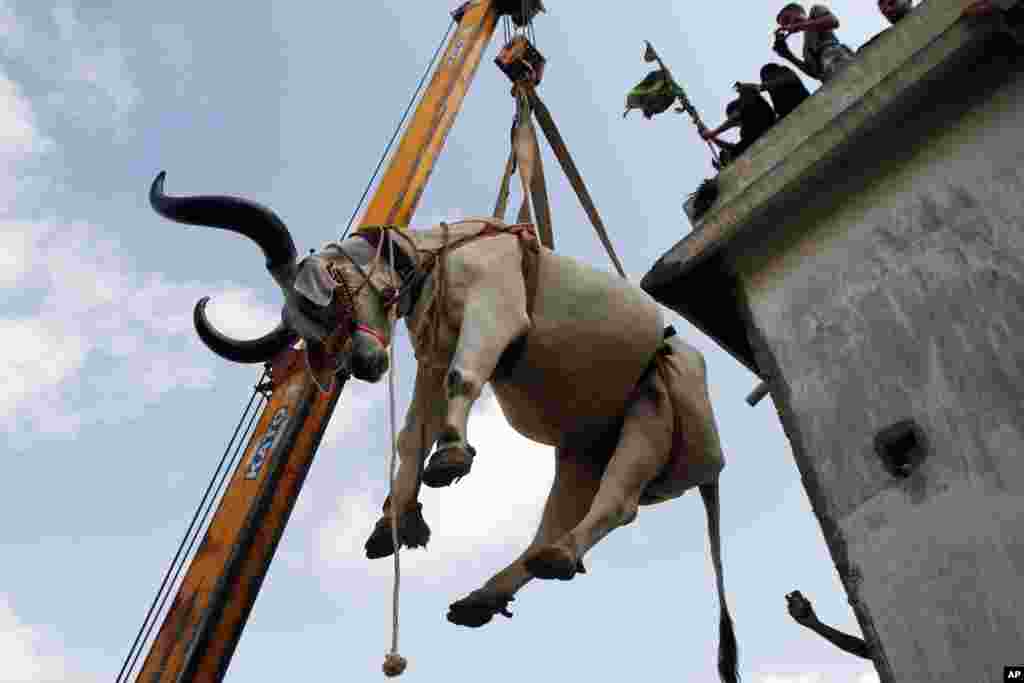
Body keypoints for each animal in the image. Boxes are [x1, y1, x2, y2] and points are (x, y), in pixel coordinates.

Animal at [151, 174, 741, 683]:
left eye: (328, 298)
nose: (363, 364)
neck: (439, 258)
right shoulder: (431, 355)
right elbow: (410, 434)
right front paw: (394, 520)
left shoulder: (493, 314)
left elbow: (464, 379)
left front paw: (452, 454)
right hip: (579, 454)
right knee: (551, 524)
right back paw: (486, 596)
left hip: (652, 416)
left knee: (618, 505)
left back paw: (556, 558)